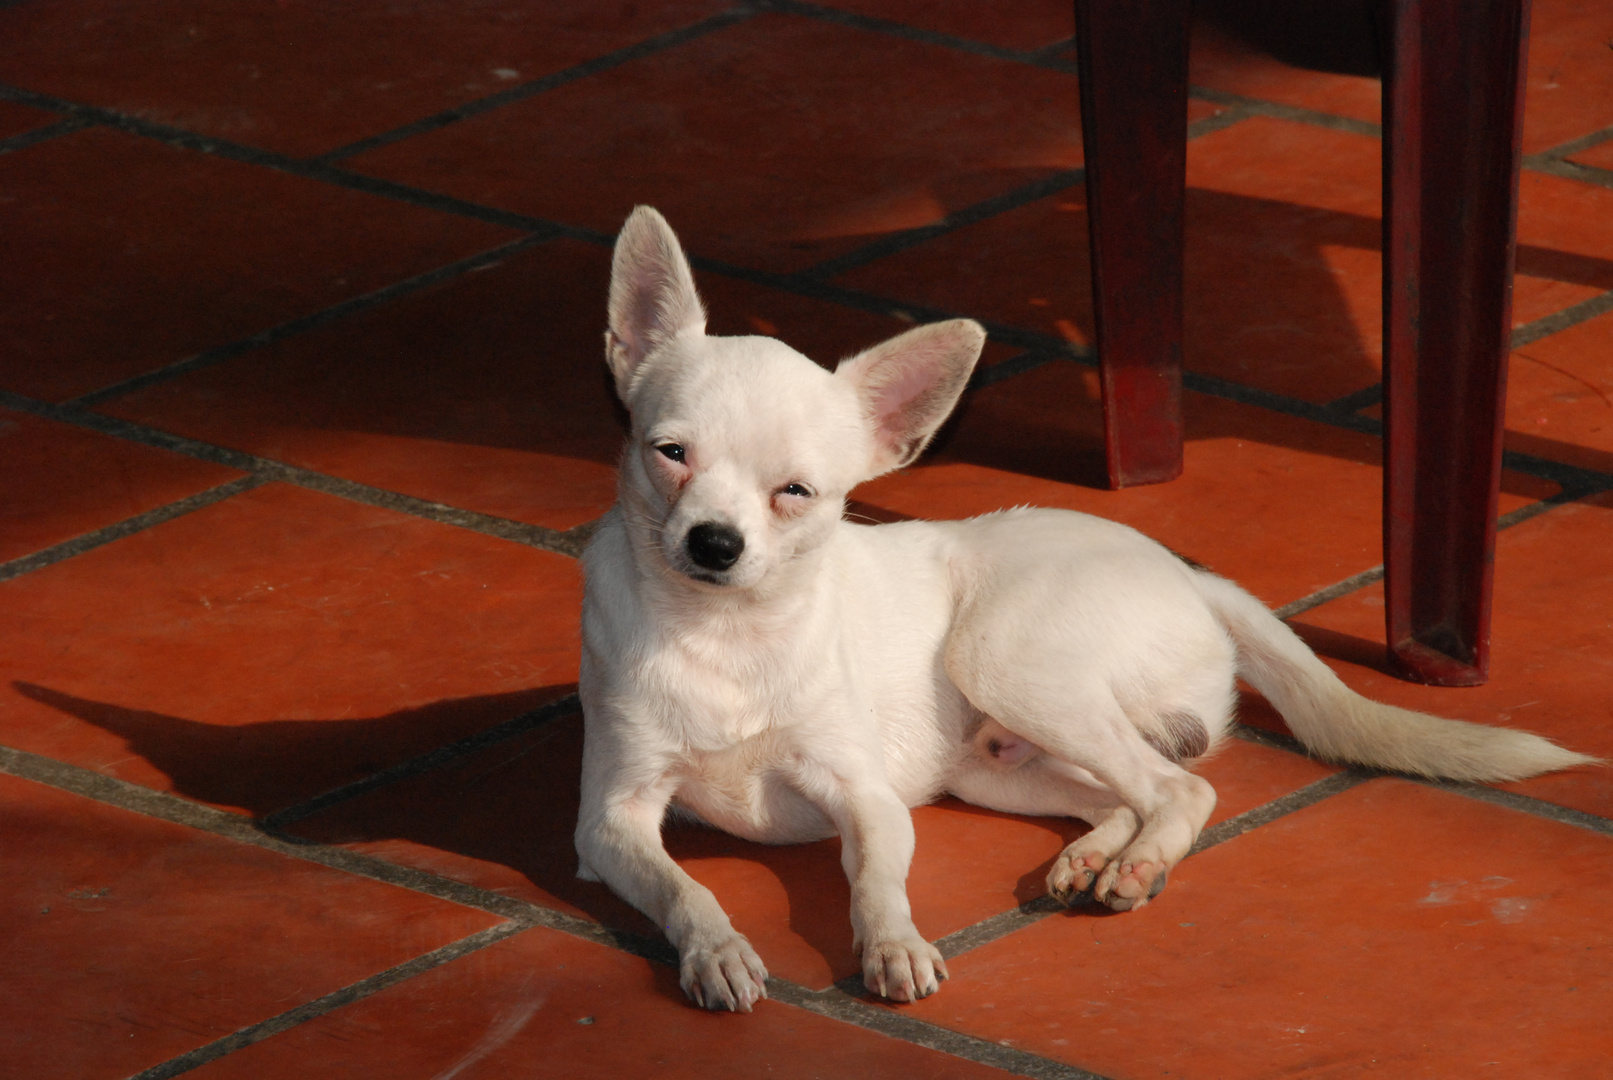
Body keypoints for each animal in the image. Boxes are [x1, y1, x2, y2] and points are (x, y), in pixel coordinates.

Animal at [574, 205, 1593, 1018]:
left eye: (795, 492)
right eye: (669, 453)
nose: (714, 543)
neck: (725, 636)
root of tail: (1190, 575)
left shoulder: (865, 798)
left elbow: (876, 884)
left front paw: (893, 945)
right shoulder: (611, 823)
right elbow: (684, 892)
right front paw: (716, 952)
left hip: (1003, 662)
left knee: (1180, 788)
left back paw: (1136, 864)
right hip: (989, 764)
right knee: (1122, 790)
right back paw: (1094, 855)